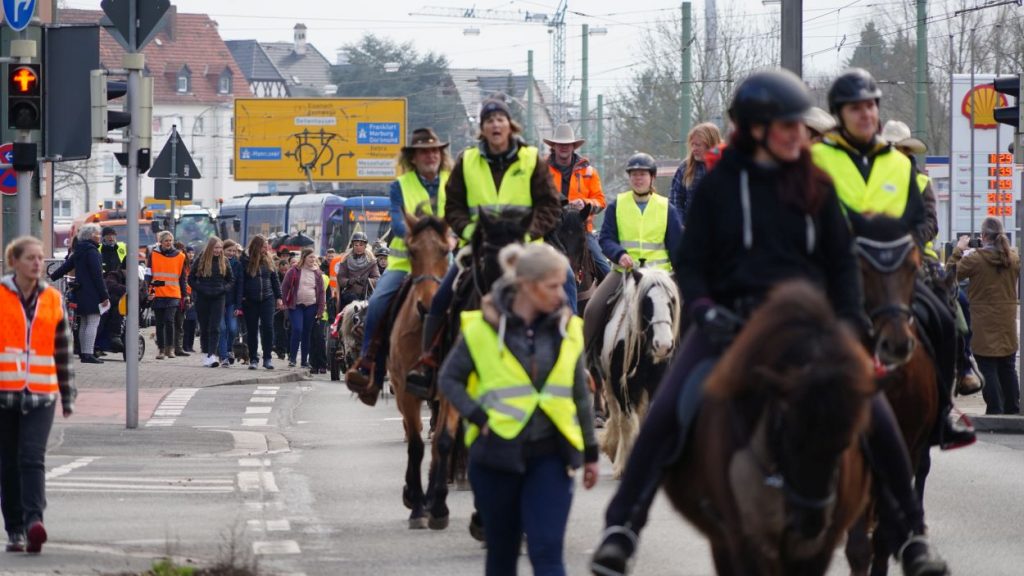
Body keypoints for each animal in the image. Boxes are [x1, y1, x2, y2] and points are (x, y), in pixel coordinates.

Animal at [597, 267, 681, 479]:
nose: (663, 345)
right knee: (616, 414)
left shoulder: (657, 383)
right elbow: (627, 422)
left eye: (671, 301)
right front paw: (624, 466)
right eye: (647, 302)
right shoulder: (623, 386)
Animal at [845, 213, 943, 576]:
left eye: (913, 266)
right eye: (861, 267)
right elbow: (859, 545)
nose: (897, 343)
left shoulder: (909, 446)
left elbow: (884, 537)